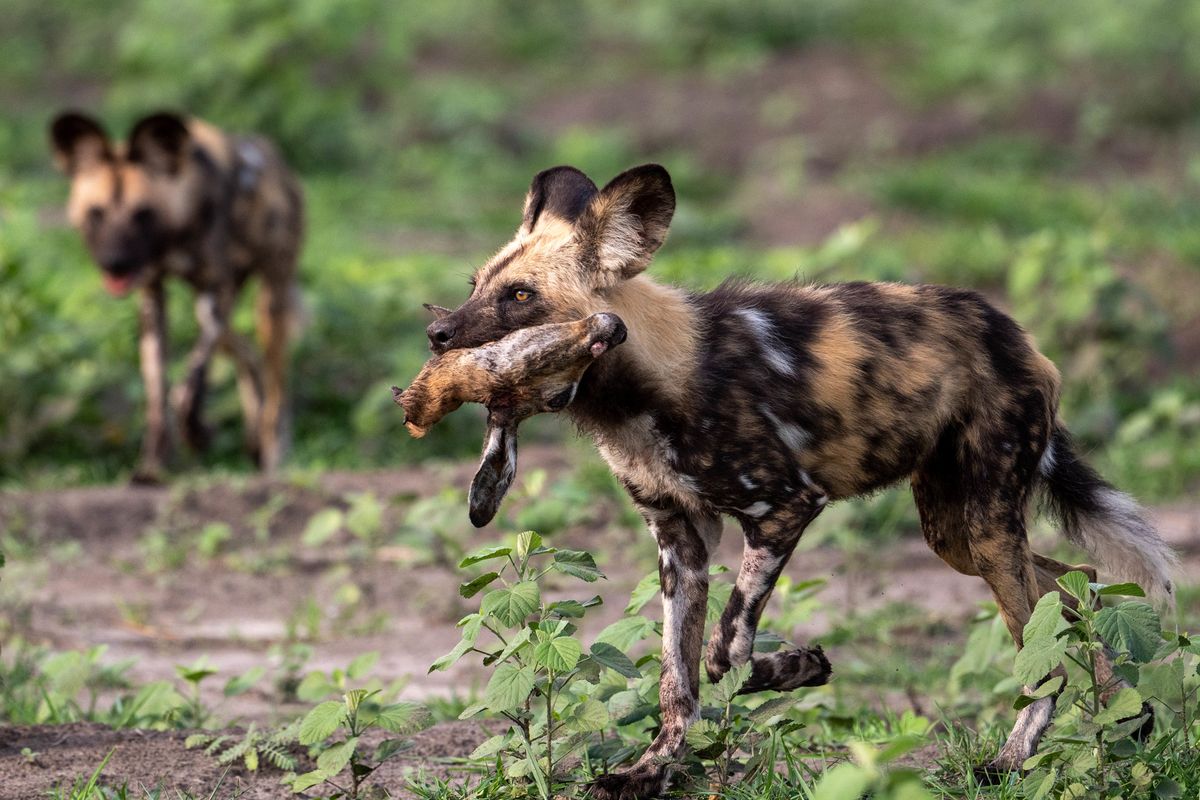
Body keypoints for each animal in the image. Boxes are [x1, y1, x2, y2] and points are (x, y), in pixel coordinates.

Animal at [50, 110, 304, 482]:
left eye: (142, 213)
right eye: (96, 213)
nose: (114, 263)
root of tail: (275, 156)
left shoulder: (215, 294)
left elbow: (190, 382)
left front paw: (197, 434)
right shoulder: (153, 296)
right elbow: (159, 394)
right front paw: (153, 467)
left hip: (269, 303)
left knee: (277, 387)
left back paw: (274, 452)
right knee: (246, 354)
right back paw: (254, 434)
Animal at [427, 164, 1176, 800]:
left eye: (520, 297)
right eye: (474, 285)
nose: (437, 334)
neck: (646, 385)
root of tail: (1020, 338)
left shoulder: (785, 507)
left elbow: (725, 652)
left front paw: (797, 668)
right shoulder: (680, 545)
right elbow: (676, 680)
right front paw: (650, 772)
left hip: (985, 523)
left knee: (1043, 649)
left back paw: (1014, 761)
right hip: (956, 533)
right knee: (1072, 588)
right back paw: (1126, 722)